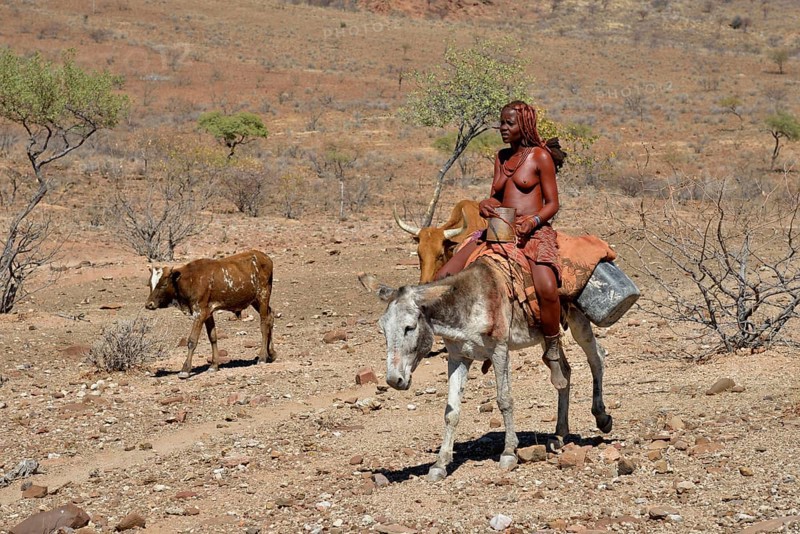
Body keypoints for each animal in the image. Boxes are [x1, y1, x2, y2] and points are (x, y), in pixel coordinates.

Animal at [145, 249, 276, 379]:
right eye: (149, 284)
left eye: (163, 284)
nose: (149, 304)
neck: (189, 280)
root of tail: (266, 257)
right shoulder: (208, 313)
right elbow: (213, 337)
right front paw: (214, 365)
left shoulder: (200, 313)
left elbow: (192, 340)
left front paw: (185, 370)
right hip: (255, 301)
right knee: (270, 317)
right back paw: (272, 353)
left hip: (263, 296)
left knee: (264, 325)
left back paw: (262, 357)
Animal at [358, 257, 612, 481]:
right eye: (382, 329)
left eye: (409, 328)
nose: (394, 380)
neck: (468, 305)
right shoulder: (458, 358)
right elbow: (451, 412)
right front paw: (440, 464)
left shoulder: (499, 351)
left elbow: (504, 400)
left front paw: (509, 453)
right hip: (547, 336)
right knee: (564, 373)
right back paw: (559, 434)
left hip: (578, 319)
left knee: (597, 358)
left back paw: (602, 417)